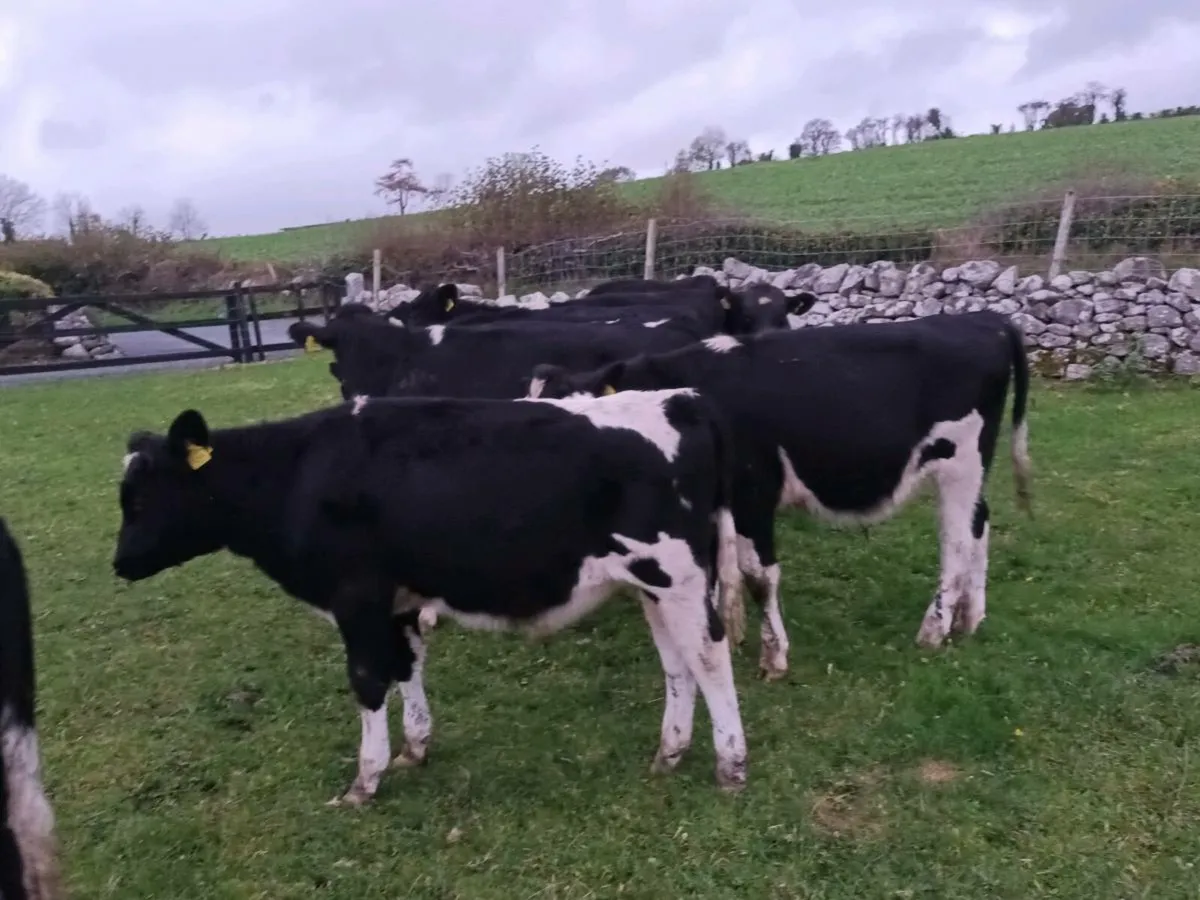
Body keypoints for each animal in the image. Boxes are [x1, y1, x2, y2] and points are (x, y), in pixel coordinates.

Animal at [112, 391, 749, 804]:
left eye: (140, 499)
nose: (119, 563)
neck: (296, 475)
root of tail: (683, 399)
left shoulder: (355, 598)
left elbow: (368, 680)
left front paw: (364, 781)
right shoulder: (398, 599)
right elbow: (406, 666)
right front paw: (414, 748)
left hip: (677, 577)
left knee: (709, 655)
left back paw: (731, 764)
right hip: (651, 586)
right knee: (677, 663)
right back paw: (670, 754)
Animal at [527, 311, 1033, 679]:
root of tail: (982, 318)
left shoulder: (754, 491)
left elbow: (757, 576)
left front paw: (773, 656)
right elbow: (718, 569)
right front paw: (726, 630)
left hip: (960, 462)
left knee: (957, 541)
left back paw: (934, 629)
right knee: (980, 524)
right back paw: (970, 618)